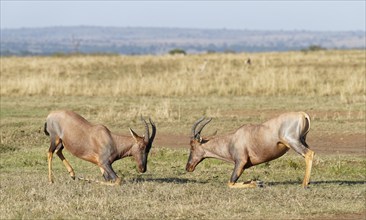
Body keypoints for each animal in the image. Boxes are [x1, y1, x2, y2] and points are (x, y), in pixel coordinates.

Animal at [186, 112, 314, 188]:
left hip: (293, 142)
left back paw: (304, 184)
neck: (233, 139)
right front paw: (258, 182)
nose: (188, 167)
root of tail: (302, 114)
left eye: (192, 146)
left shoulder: (240, 162)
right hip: (302, 141)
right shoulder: (244, 166)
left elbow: (230, 183)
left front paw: (256, 184)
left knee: (309, 154)